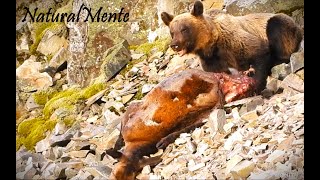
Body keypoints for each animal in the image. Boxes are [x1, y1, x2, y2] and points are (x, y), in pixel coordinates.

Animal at [161, 1, 304, 94]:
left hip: (283, 24)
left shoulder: (237, 42)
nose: (174, 45)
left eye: (184, 29)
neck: (212, 44)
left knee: (277, 29)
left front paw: (256, 84)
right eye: (172, 32)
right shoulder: (210, 60)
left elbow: (259, 52)